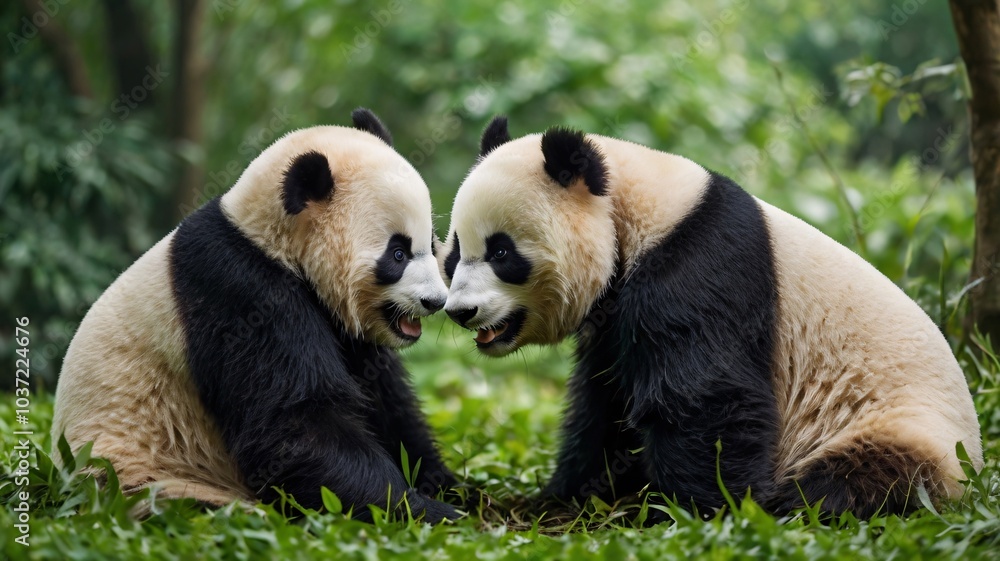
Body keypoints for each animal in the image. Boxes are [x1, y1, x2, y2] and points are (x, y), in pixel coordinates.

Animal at [52, 108, 459, 522]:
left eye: (430, 244)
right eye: (398, 254)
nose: (435, 301)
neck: (264, 235)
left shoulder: (341, 325)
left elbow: (385, 401)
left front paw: (451, 488)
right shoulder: (240, 291)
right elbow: (295, 426)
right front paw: (427, 512)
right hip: (139, 473)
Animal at [439, 116, 983, 518]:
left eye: (502, 252)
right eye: (455, 254)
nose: (462, 312)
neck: (635, 208)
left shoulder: (700, 267)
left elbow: (704, 397)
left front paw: (697, 509)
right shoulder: (614, 319)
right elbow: (605, 403)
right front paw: (568, 493)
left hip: (900, 423)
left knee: (864, 478)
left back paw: (791, 504)